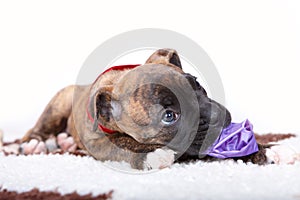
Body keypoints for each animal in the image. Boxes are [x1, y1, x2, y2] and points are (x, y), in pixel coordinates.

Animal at [21, 48, 272, 169]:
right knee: (38, 129)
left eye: (197, 85)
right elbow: (123, 146)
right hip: (60, 102)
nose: (217, 117)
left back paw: (64, 142)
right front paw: (152, 155)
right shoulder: (99, 143)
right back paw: (36, 143)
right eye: (168, 116)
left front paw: (267, 150)